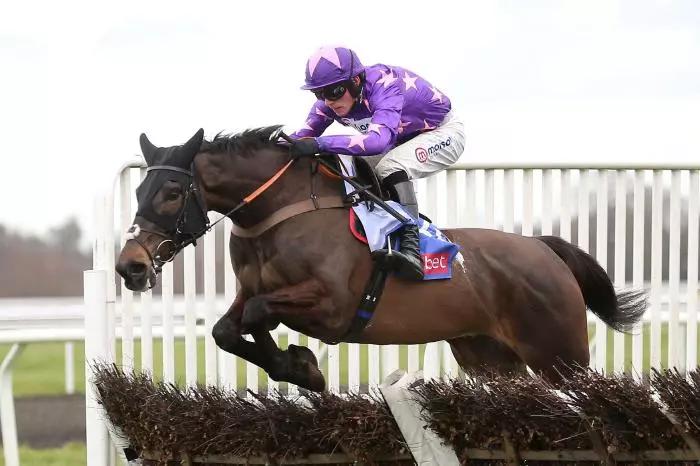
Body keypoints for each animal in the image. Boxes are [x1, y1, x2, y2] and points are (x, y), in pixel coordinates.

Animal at [115, 125, 644, 392]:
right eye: (137, 191)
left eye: (171, 192)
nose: (130, 266)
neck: (284, 211)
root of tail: (544, 249)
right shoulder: (251, 289)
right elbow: (229, 328)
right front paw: (296, 366)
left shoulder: (333, 306)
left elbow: (258, 315)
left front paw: (301, 366)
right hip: (489, 356)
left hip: (559, 354)